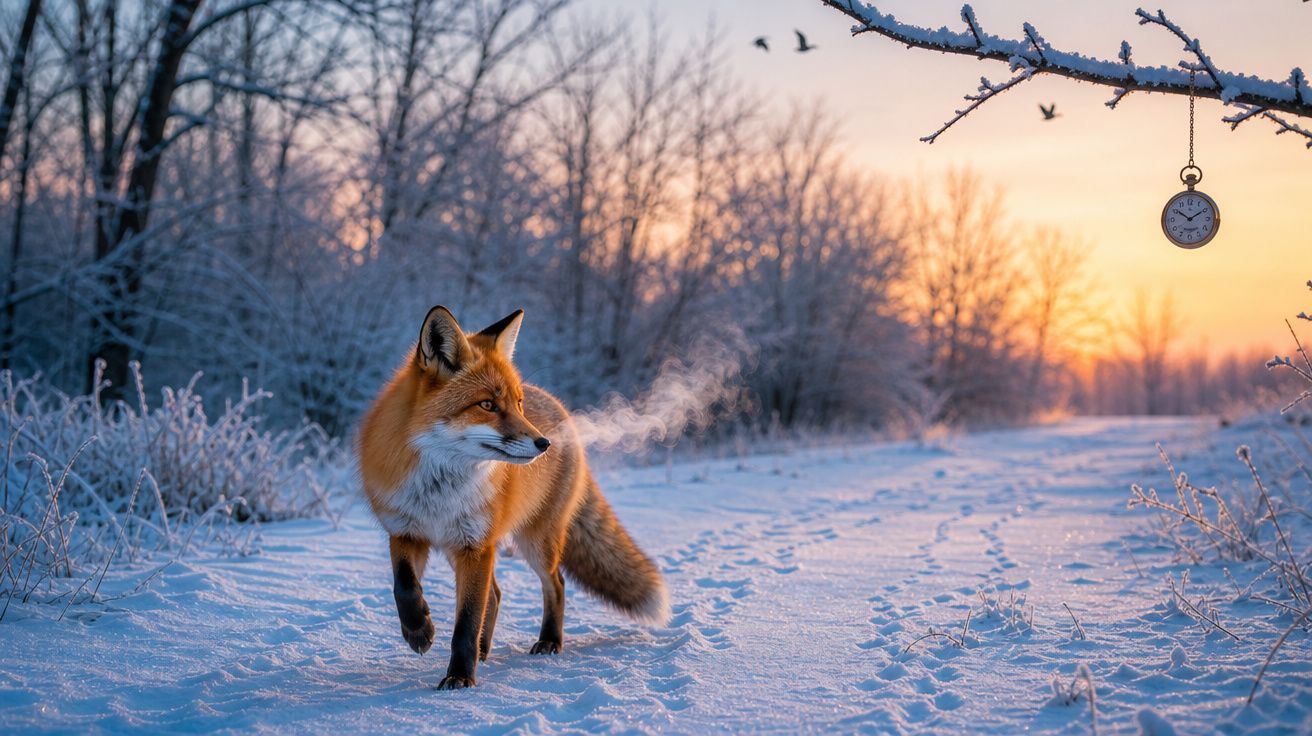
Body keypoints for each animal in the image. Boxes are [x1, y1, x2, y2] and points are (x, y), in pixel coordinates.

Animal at [357, 306, 670, 690]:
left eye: (518, 405)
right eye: (487, 404)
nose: (544, 443)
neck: (438, 490)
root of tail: (560, 409)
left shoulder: (476, 545)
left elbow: (466, 622)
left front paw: (460, 676)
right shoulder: (405, 531)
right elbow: (403, 586)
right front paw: (418, 630)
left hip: (536, 541)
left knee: (555, 584)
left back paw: (549, 641)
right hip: (467, 548)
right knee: (496, 593)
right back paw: (484, 650)